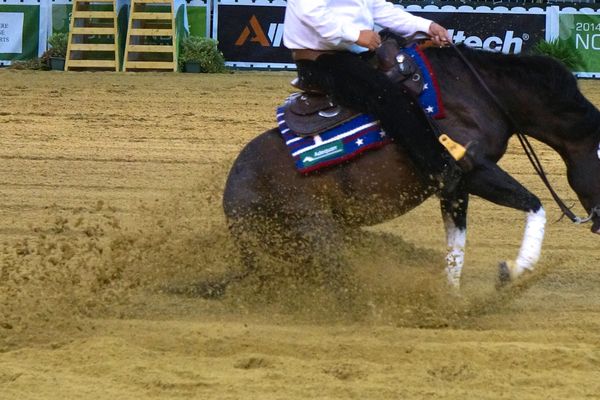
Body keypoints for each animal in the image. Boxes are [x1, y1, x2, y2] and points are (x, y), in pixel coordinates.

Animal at [211, 47, 600, 296]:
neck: (481, 94)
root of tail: (231, 197)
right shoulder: (470, 169)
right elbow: (534, 204)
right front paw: (514, 270)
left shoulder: (454, 187)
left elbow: (456, 244)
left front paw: (451, 299)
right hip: (314, 230)